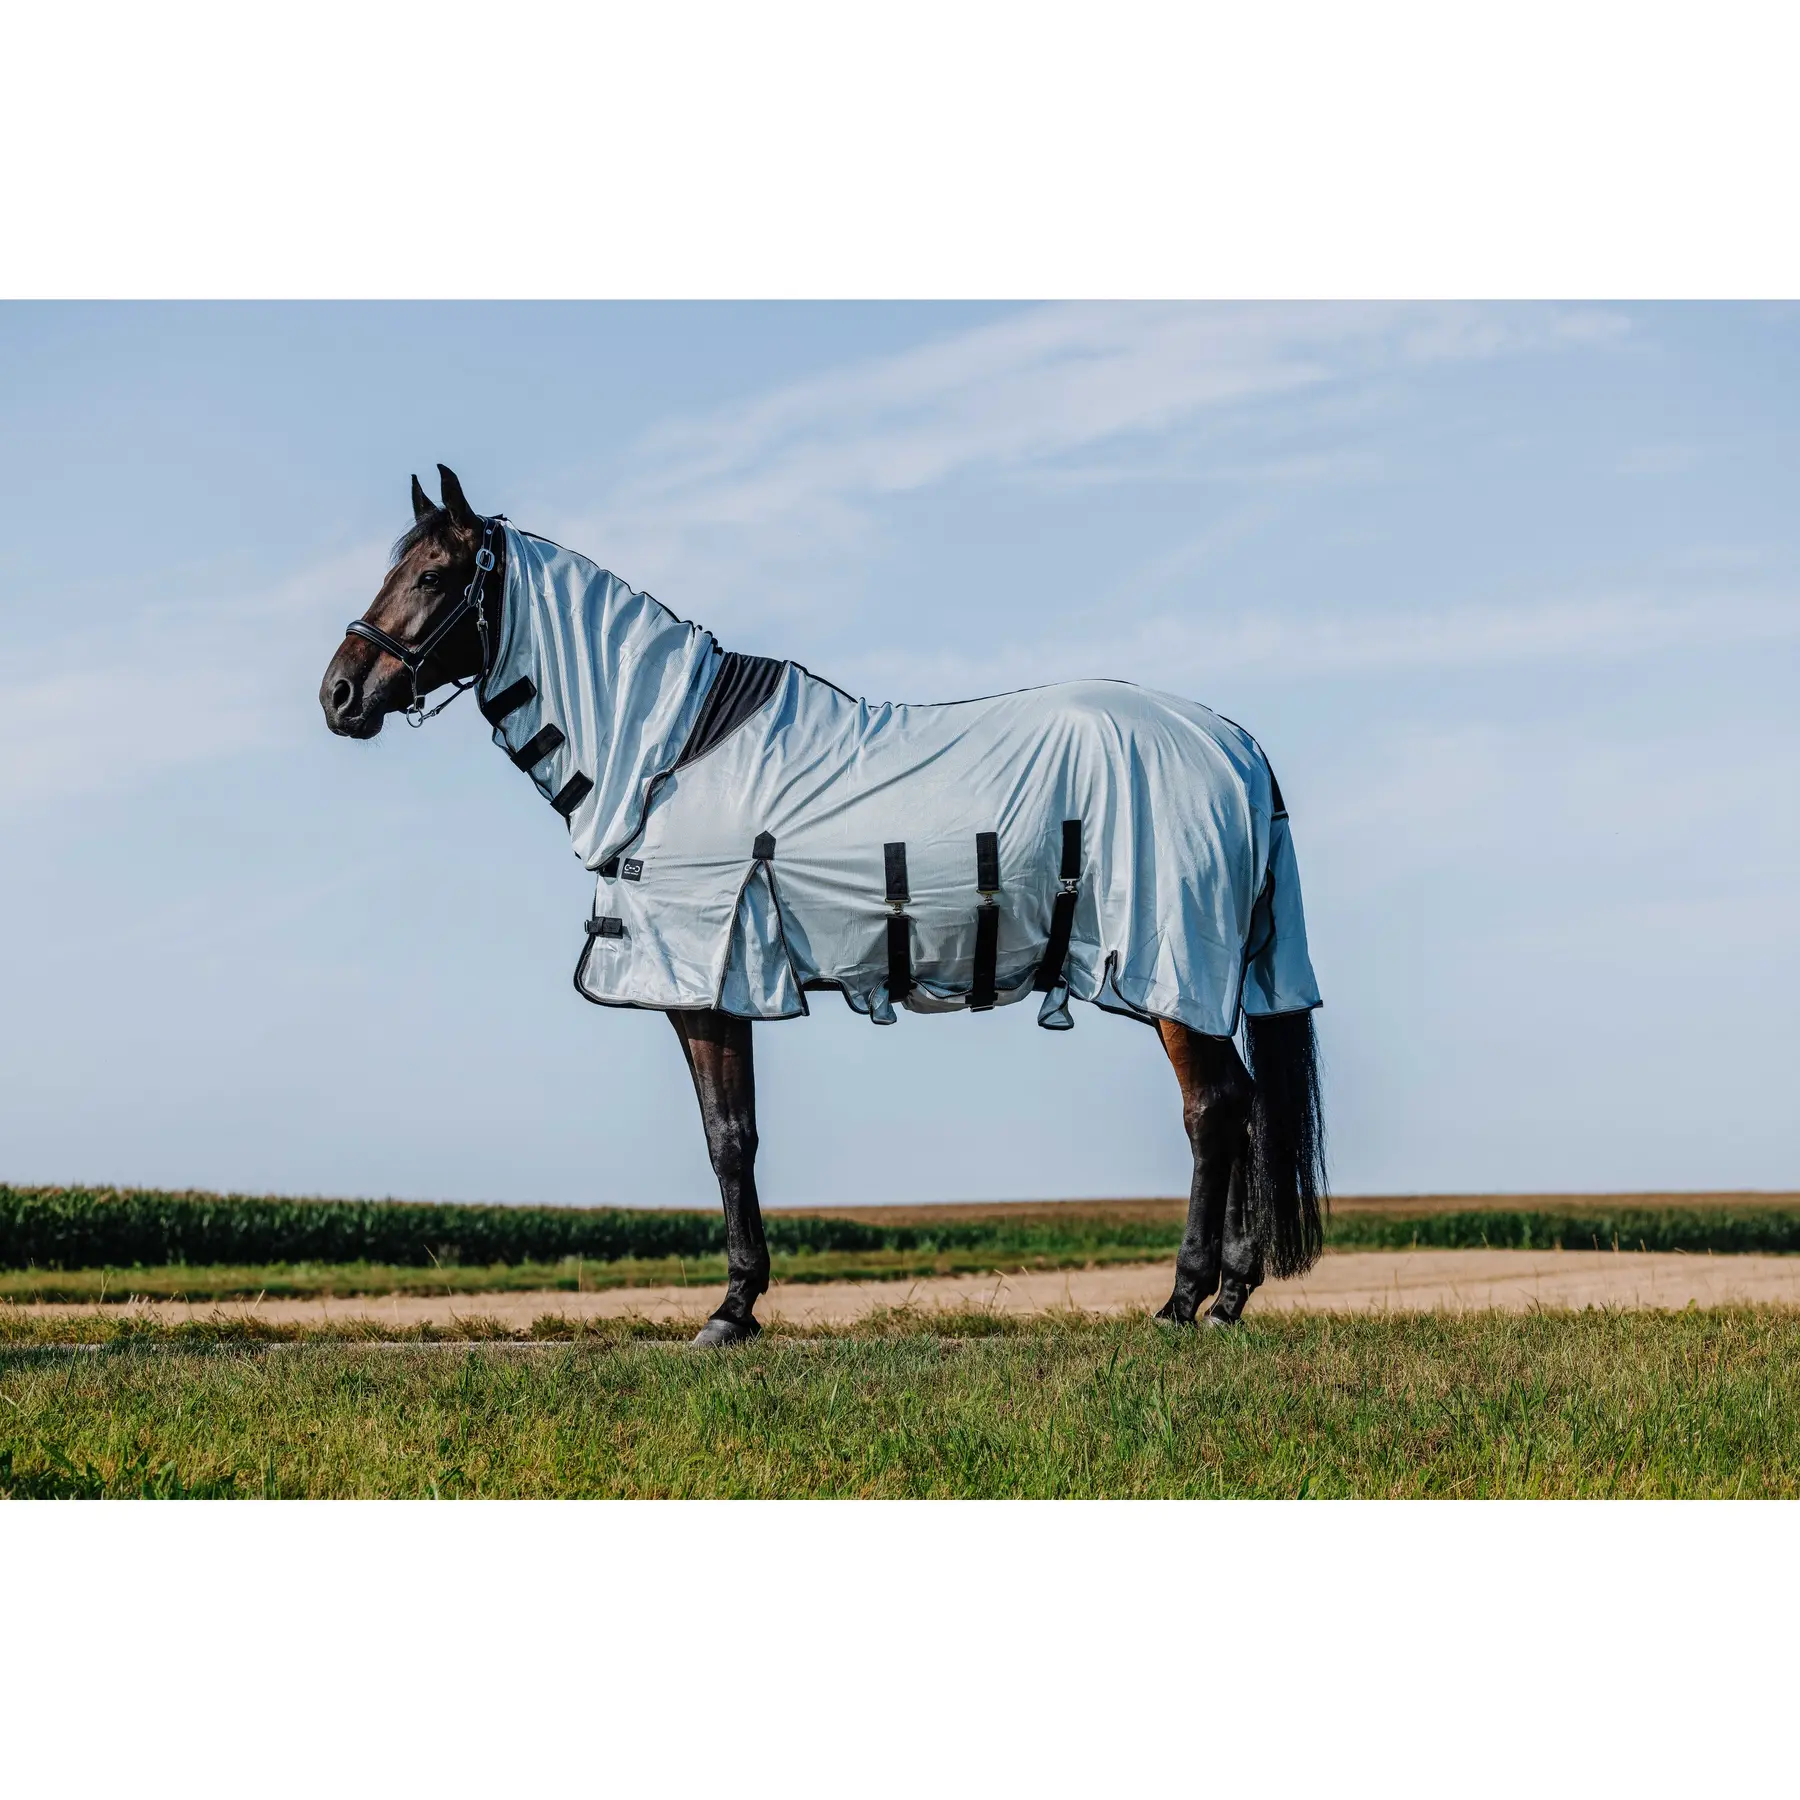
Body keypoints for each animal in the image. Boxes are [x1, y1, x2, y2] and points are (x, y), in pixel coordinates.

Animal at [320, 466, 1327, 1344]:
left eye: (433, 575)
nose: (339, 694)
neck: (669, 752)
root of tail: (1231, 742)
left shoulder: (706, 982)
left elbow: (729, 1139)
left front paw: (731, 1310)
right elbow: (736, 1136)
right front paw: (741, 1303)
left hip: (1167, 970)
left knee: (1212, 1111)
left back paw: (1184, 1302)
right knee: (1240, 1104)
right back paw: (1230, 1297)